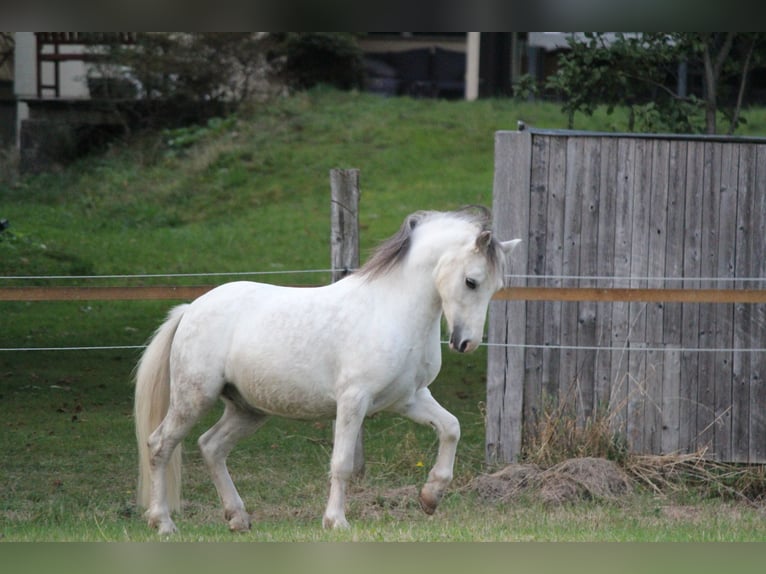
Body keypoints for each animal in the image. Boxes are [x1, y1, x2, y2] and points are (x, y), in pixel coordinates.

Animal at [134, 206, 520, 534]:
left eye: (496, 287)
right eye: (471, 281)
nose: (466, 343)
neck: (392, 311)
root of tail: (191, 308)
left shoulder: (409, 399)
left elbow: (451, 428)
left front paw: (430, 497)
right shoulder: (353, 401)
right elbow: (342, 463)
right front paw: (336, 521)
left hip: (248, 409)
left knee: (211, 446)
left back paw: (238, 518)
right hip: (193, 398)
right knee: (159, 445)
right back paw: (163, 522)